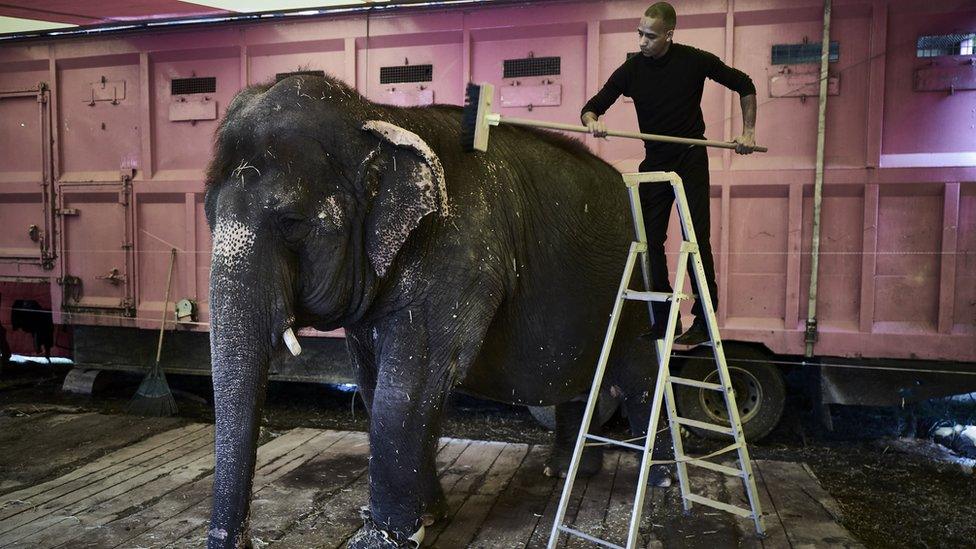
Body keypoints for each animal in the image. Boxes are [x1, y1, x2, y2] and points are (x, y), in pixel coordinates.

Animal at [206, 74, 664, 548]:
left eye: (292, 223)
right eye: (207, 216)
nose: (242, 540)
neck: (381, 117)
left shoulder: (460, 258)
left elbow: (409, 384)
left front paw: (380, 539)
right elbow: (373, 382)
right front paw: (430, 517)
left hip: (637, 285)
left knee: (642, 375)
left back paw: (659, 479)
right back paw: (562, 471)